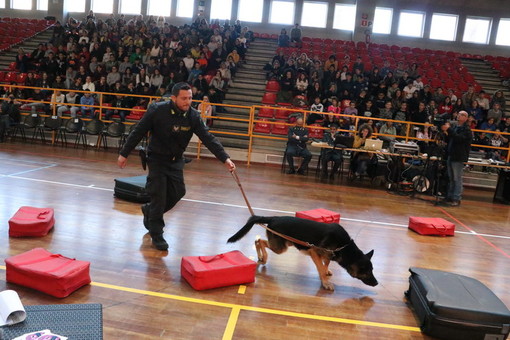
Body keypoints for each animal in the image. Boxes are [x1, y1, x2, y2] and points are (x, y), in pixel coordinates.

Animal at [229, 216, 376, 290]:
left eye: (371, 270)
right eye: (367, 272)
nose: (376, 283)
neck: (344, 247)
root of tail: (274, 218)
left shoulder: (327, 254)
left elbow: (326, 263)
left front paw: (326, 272)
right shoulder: (314, 252)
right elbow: (321, 268)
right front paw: (325, 282)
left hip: (286, 244)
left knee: (258, 240)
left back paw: (260, 257)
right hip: (280, 248)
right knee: (260, 241)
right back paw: (263, 258)